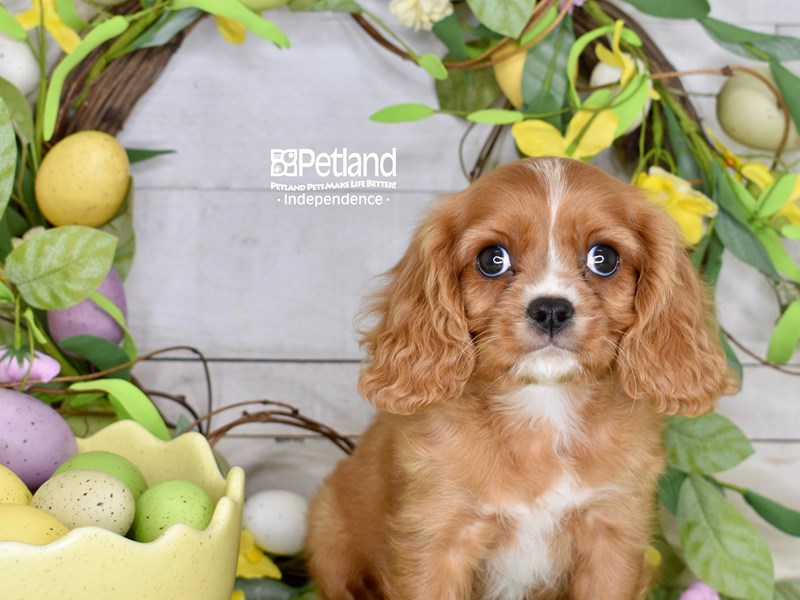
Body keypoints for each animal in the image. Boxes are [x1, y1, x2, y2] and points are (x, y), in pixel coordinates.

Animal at [306, 158, 736, 600]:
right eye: (492, 259)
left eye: (604, 258)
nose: (551, 309)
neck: (543, 408)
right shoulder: (437, 540)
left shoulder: (611, 535)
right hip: (328, 534)